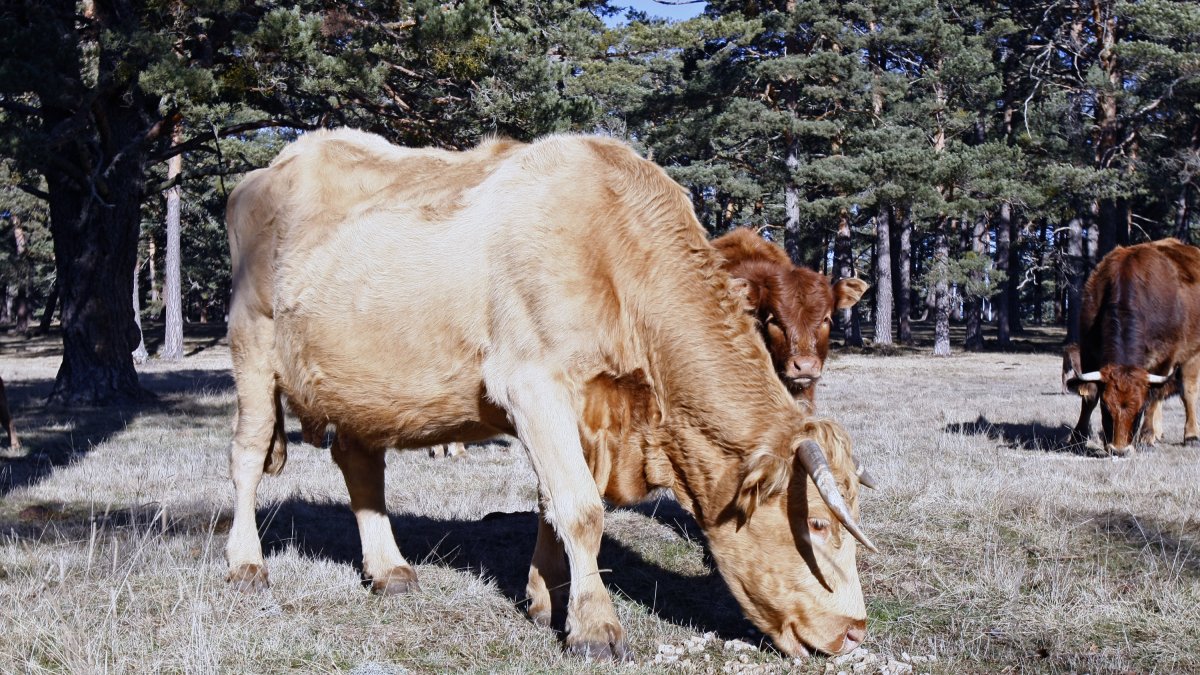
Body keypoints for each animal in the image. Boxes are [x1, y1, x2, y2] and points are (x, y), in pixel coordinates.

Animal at [1063, 238, 1200, 456]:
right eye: (1106, 407)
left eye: (1139, 409)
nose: (1119, 450)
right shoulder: (1088, 351)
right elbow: (1090, 394)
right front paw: (1078, 436)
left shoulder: (1165, 358)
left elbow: (1154, 397)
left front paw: (1146, 437)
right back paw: (1159, 432)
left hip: (1192, 355)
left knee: (1188, 391)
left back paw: (1190, 435)